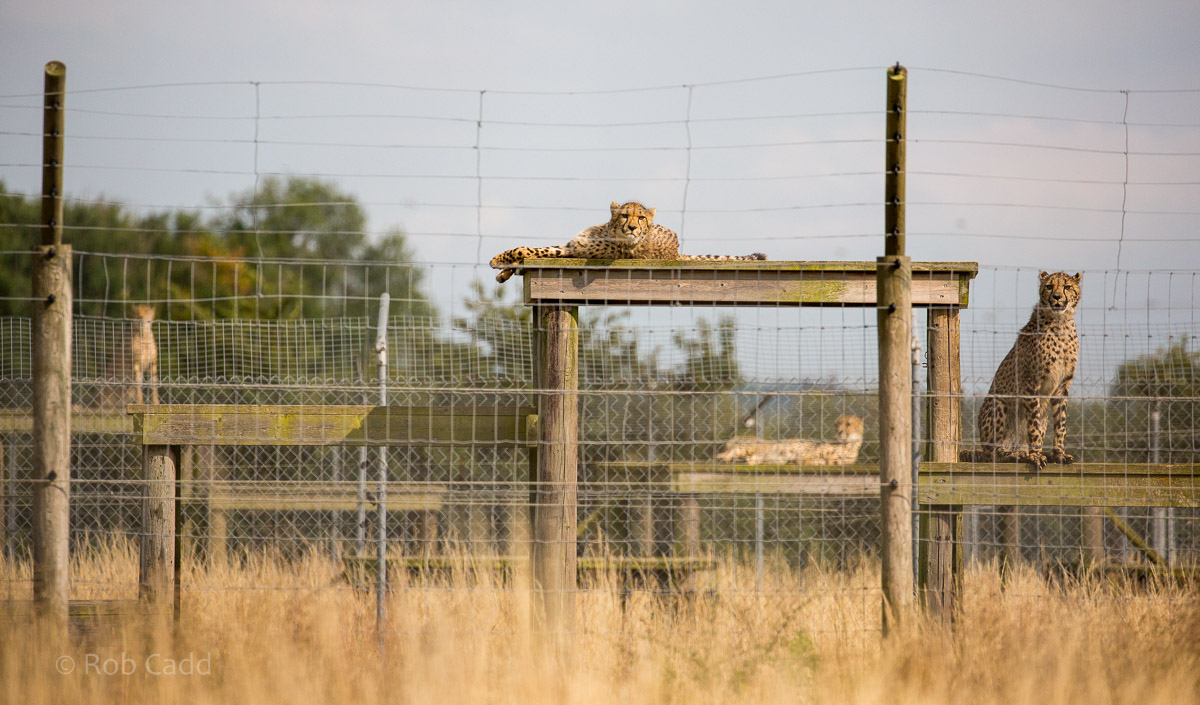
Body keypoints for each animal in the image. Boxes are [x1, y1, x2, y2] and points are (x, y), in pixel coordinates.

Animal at [488, 201, 767, 283]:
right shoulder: (570, 246)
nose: (632, 227)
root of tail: (676, 251)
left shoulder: (573, 252)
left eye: (640, 217)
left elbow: (526, 249)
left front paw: (496, 261)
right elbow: (532, 249)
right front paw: (503, 270)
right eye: (625, 215)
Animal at [716, 414, 865, 466]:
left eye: (848, 424)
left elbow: (826, 461)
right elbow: (807, 458)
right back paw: (722, 458)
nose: (839, 431)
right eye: (837, 424)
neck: (848, 444)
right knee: (727, 453)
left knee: (750, 458)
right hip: (750, 447)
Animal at [960, 271, 1081, 470]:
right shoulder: (1031, 383)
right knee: (994, 455)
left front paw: (1059, 454)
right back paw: (1017, 455)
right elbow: (1033, 426)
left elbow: (1060, 424)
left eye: (1067, 287)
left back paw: (1034, 453)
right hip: (998, 403)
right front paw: (1036, 456)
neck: (1060, 322)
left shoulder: (1062, 386)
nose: (1056, 297)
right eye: (1049, 286)